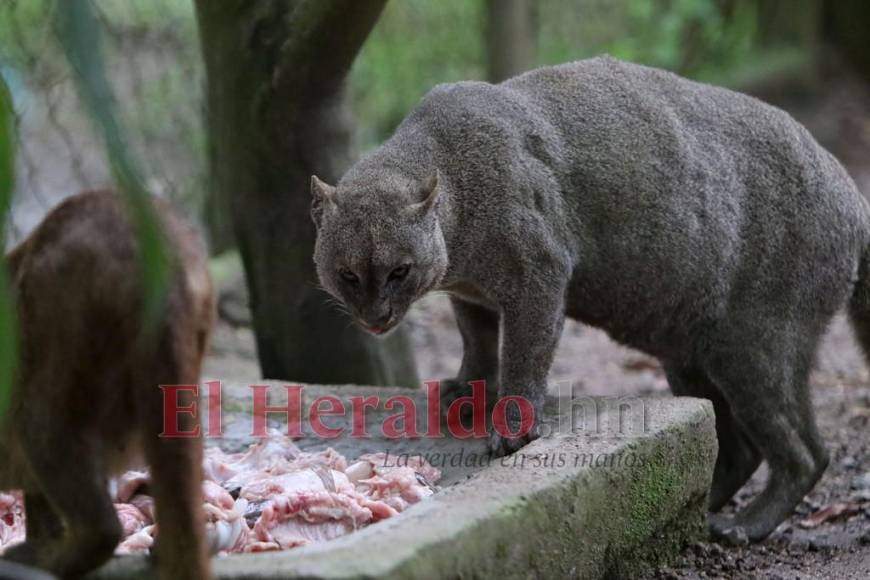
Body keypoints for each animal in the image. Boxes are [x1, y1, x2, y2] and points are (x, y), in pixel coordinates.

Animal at [310, 56, 868, 540]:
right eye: (347, 274)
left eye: (399, 271)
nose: (376, 316)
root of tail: (852, 195)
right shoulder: (472, 295)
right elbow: (477, 343)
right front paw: (466, 392)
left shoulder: (540, 272)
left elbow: (524, 355)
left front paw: (512, 428)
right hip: (692, 357)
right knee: (752, 450)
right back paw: (708, 509)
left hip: (752, 350)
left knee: (803, 455)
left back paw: (744, 526)